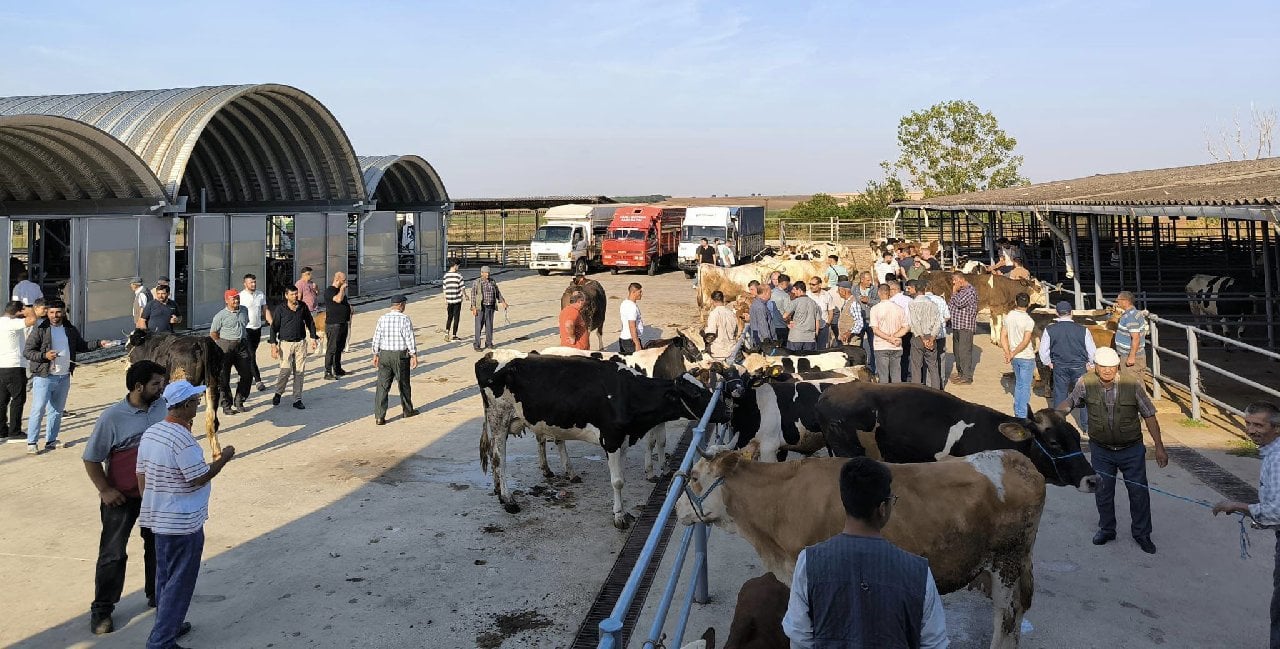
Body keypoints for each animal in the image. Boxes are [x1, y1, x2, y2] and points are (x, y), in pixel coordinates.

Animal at [126, 330, 226, 458]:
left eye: (128, 346)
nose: (127, 364)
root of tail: (202, 341)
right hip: (213, 385)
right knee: (212, 420)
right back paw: (217, 453)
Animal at [476, 350, 727, 527]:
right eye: (695, 393)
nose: (725, 409)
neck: (627, 392)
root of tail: (489, 356)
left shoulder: (624, 439)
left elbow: (621, 476)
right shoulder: (612, 438)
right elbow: (617, 481)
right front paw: (619, 517)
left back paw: (500, 492)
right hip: (499, 418)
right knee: (499, 458)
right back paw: (509, 500)